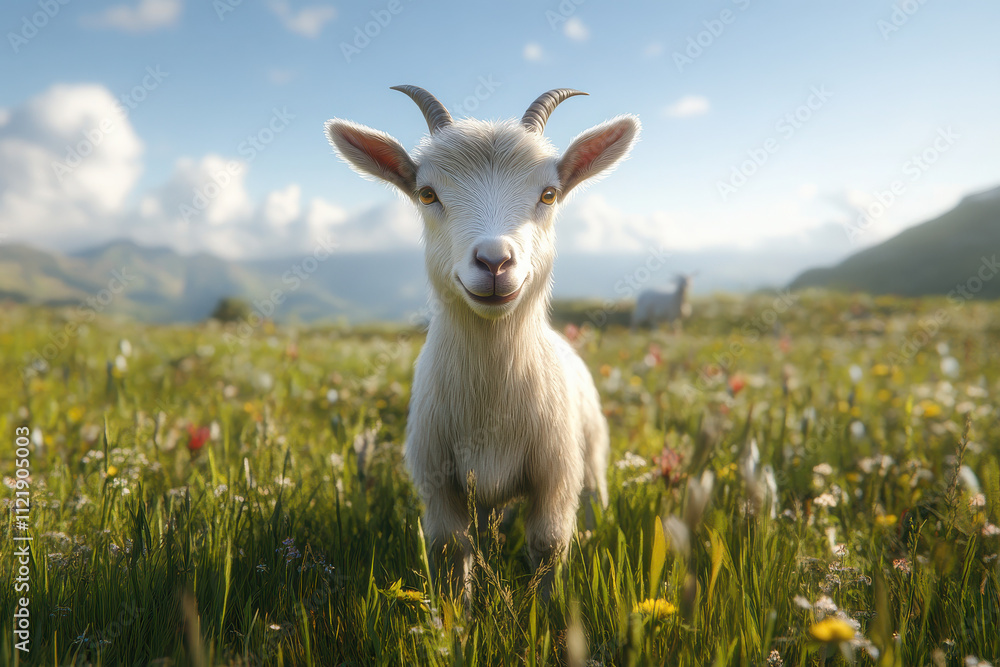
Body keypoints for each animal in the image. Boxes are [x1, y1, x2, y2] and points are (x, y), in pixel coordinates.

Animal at [325, 86, 639, 599]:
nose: (494, 262)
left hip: (590, 453)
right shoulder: (437, 483)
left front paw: (543, 613)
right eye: (427, 193)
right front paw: (459, 617)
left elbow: (549, 545)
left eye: (549, 194)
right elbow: (452, 549)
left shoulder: (556, 476)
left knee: (593, 502)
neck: (491, 397)